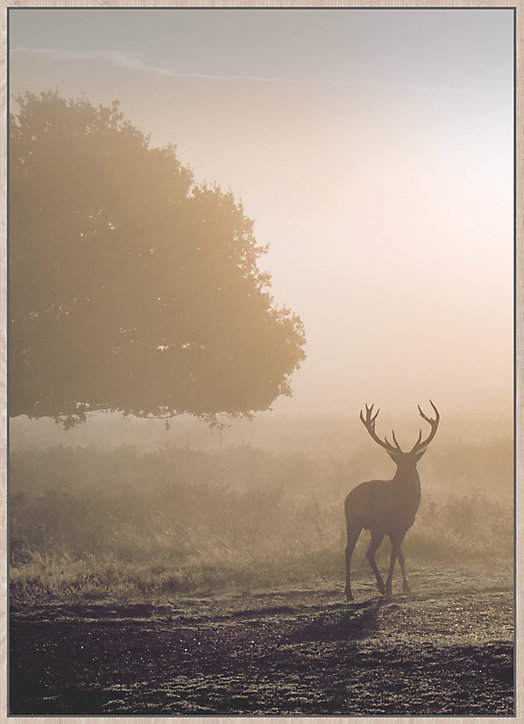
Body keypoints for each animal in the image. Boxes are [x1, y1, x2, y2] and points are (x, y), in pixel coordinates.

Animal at [344, 401, 440, 601]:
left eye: (414, 462)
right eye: (399, 464)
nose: (408, 475)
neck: (405, 504)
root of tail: (347, 499)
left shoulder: (401, 528)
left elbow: (400, 557)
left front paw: (405, 586)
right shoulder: (392, 527)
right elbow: (393, 556)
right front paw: (391, 587)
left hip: (362, 525)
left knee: (357, 551)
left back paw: (361, 590)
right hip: (362, 523)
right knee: (358, 551)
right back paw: (359, 591)